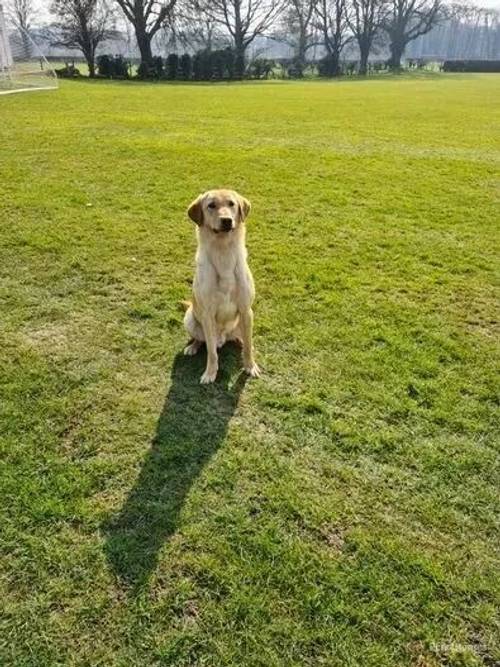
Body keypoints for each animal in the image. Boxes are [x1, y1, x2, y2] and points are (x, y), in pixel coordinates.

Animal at [185, 190, 262, 384]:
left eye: (231, 204)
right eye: (211, 205)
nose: (226, 220)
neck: (223, 252)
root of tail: (224, 338)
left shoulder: (246, 309)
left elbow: (248, 346)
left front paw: (250, 366)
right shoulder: (207, 314)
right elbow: (212, 352)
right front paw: (210, 373)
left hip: (245, 321)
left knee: (245, 339)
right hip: (190, 319)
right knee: (202, 340)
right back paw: (193, 346)